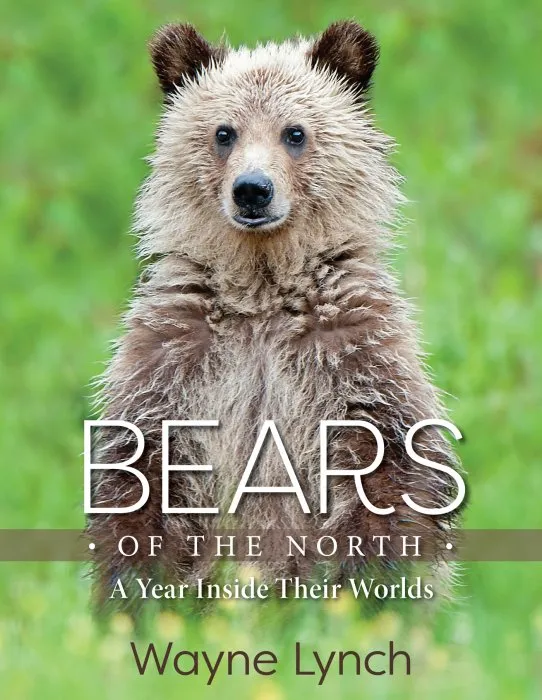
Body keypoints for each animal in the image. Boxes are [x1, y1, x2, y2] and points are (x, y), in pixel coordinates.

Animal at [88, 21, 461, 606]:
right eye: (224, 132)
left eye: (295, 132)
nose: (252, 190)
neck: (262, 288)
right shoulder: (178, 353)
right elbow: (142, 472)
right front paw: (139, 592)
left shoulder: (350, 349)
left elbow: (390, 467)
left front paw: (366, 590)